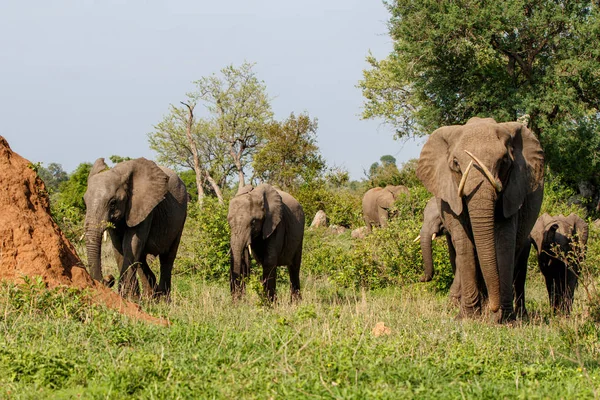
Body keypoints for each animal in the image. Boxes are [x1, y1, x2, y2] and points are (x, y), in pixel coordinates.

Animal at [83, 158, 188, 298]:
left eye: (113, 203)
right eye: (85, 202)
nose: (109, 279)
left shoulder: (145, 208)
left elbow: (131, 244)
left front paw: (127, 297)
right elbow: (118, 247)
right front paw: (131, 297)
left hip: (181, 217)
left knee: (167, 258)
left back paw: (163, 299)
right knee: (141, 259)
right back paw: (151, 297)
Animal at [414, 116, 548, 322]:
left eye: (504, 161)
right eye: (456, 163)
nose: (421, 279)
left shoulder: (513, 190)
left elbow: (504, 244)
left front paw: (503, 319)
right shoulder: (450, 199)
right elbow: (465, 245)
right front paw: (467, 317)